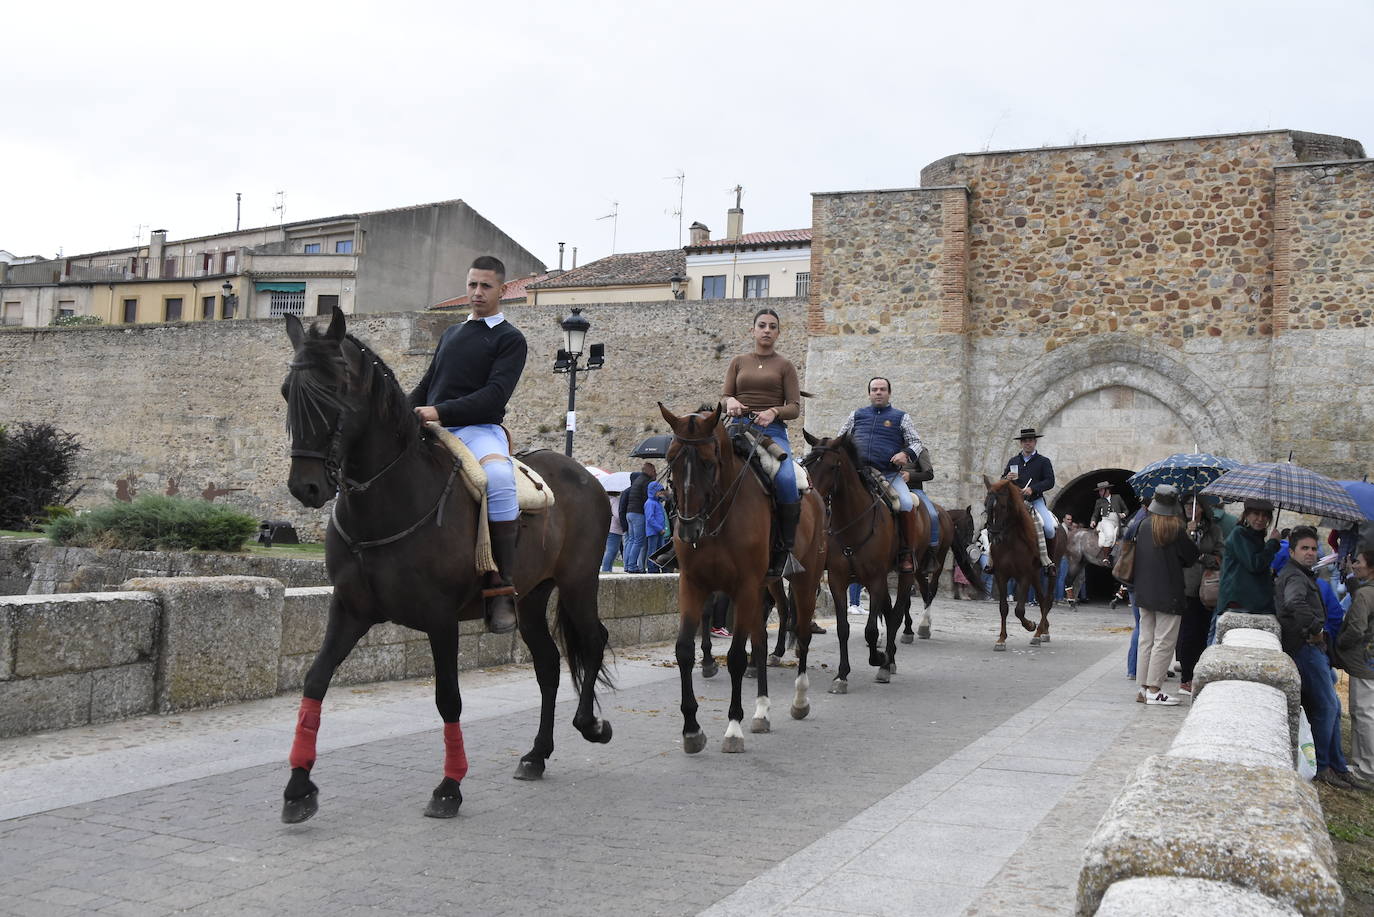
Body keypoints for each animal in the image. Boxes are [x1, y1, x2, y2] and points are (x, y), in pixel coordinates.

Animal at [278, 307, 612, 824]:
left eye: (333, 389)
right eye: (287, 392)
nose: (306, 487)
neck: (390, 499)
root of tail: (584, 474)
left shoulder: (441, 620)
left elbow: (448, 699)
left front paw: (450, 786)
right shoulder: (349, 610)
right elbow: (315, 681)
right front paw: (298, 787)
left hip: (578, 584)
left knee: (593, 641)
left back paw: (590, 724)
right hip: (531, 599)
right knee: (548, 666)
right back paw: (537, 754)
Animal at [656, 404, 818, 753]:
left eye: (708, 461)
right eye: (671, 458)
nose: (687, 527)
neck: (718, 515)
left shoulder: (744, 587)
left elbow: (735, 658)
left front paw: (733, 727)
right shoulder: (693, 584)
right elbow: (684, 650)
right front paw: (692, 729)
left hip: (805, 579)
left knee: (801, 632)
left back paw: (799, 699)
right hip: (762, 587)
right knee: (761, 640)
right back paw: (762, 710)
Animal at [796, 434, 912, 692]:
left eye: (832, 466)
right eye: (807, 463)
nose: (812, 499)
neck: (855, 523)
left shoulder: (876, 580)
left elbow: (870, 630)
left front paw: (879, 658)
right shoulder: (838, 581)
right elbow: (843, 629)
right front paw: (842, 675)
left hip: (904, 576)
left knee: (896, 614)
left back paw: (887, 662)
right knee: (889, 613)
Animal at [983, 478, 1066, 648]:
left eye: (1003, 506)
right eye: (985, 504)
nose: (994, 536)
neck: (1010, 540)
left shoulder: (1025, 575)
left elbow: (1019, 610)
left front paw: (1030, 625)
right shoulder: (1001, 575)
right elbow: (1003, 608)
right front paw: (1001, 639)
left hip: (1052, 571)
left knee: (1048, 599)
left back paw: (1038, 633)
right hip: (1035, 573)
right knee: (1041, 598)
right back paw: (1044, 630)